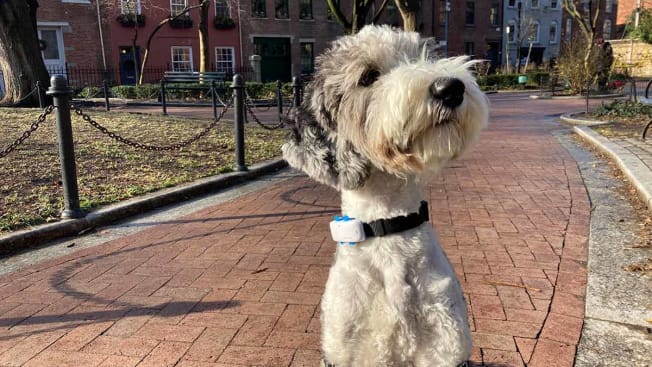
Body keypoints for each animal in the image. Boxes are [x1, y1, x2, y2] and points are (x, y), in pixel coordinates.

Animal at [282, 25, 488, 367]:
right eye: (368, 76)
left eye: (425, 55)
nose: (450, 88)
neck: (388, 223)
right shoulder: (345, 352)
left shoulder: (446, 351)